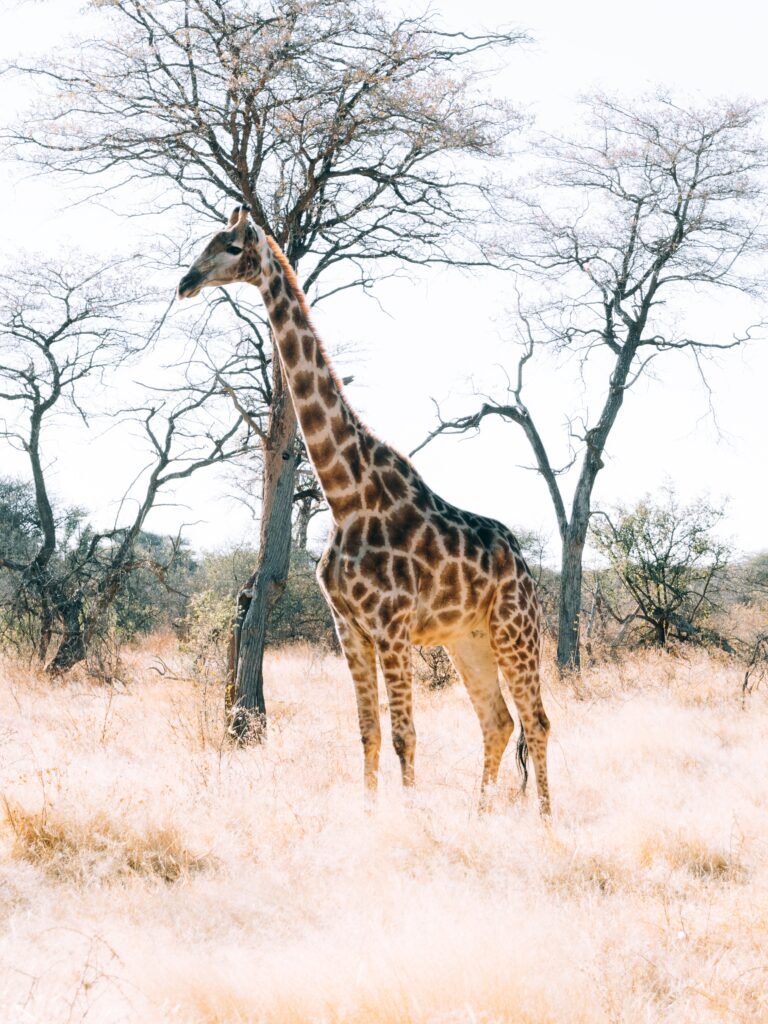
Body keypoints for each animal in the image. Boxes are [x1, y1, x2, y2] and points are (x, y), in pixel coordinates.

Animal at [177, 204, 551, 815]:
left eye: (230, 247)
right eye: (203, 243)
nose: (185, 283)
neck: (346, 496)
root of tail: (522, 565)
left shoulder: (392, 626)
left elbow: (404, 734)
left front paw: (409, 818)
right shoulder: (348, 627)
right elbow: (368, 731)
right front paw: (376, 812)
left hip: (515, 629)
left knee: (537, 721)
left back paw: (545, 822)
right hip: (468, 640)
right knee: (497, 722)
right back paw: (479, 817)